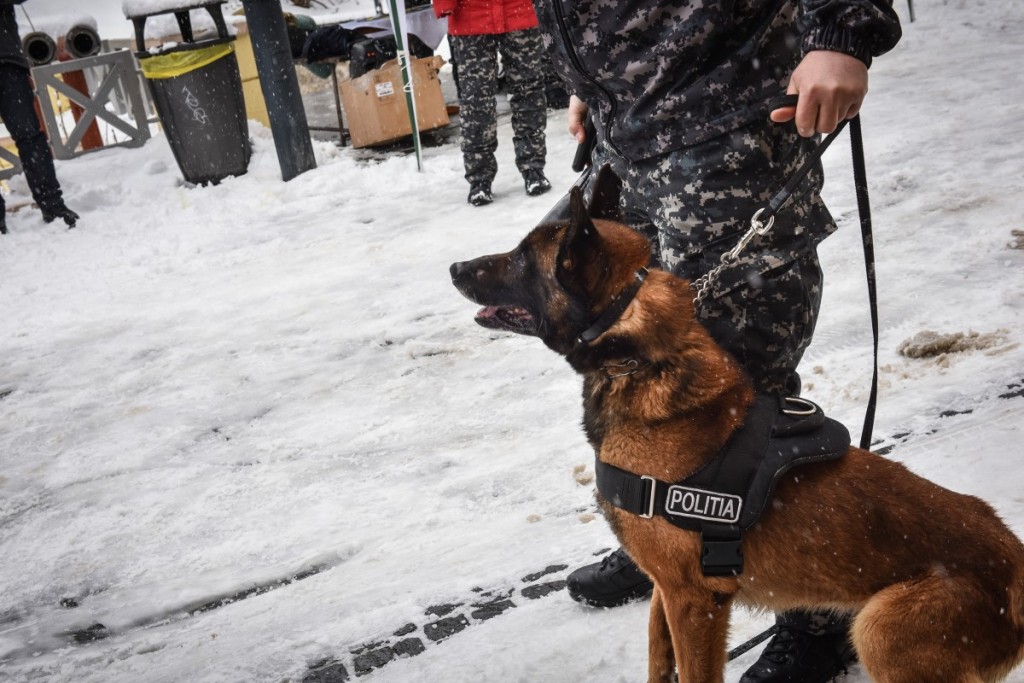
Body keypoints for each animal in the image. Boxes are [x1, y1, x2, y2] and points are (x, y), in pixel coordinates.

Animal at [452, 166, 1024, 683]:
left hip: (879, 629)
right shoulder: (665, 590)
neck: (638, 359)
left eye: (522, 258)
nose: (455, 266)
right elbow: (659, 660)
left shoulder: (696, 600)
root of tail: (1016, 571)